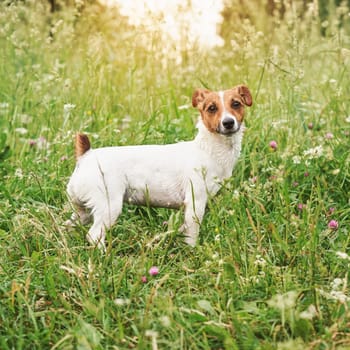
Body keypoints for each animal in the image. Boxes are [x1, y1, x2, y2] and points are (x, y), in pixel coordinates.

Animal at [66, 85, 252, 249]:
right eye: (212, 108)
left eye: (236, 104)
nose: (228, 122)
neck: (208, 150)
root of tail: (86, 156)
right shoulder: (195, 203)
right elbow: (192, 235)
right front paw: (193, 252)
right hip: (108, 206)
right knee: (94, 235)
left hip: (82, 211)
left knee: (69, 225)